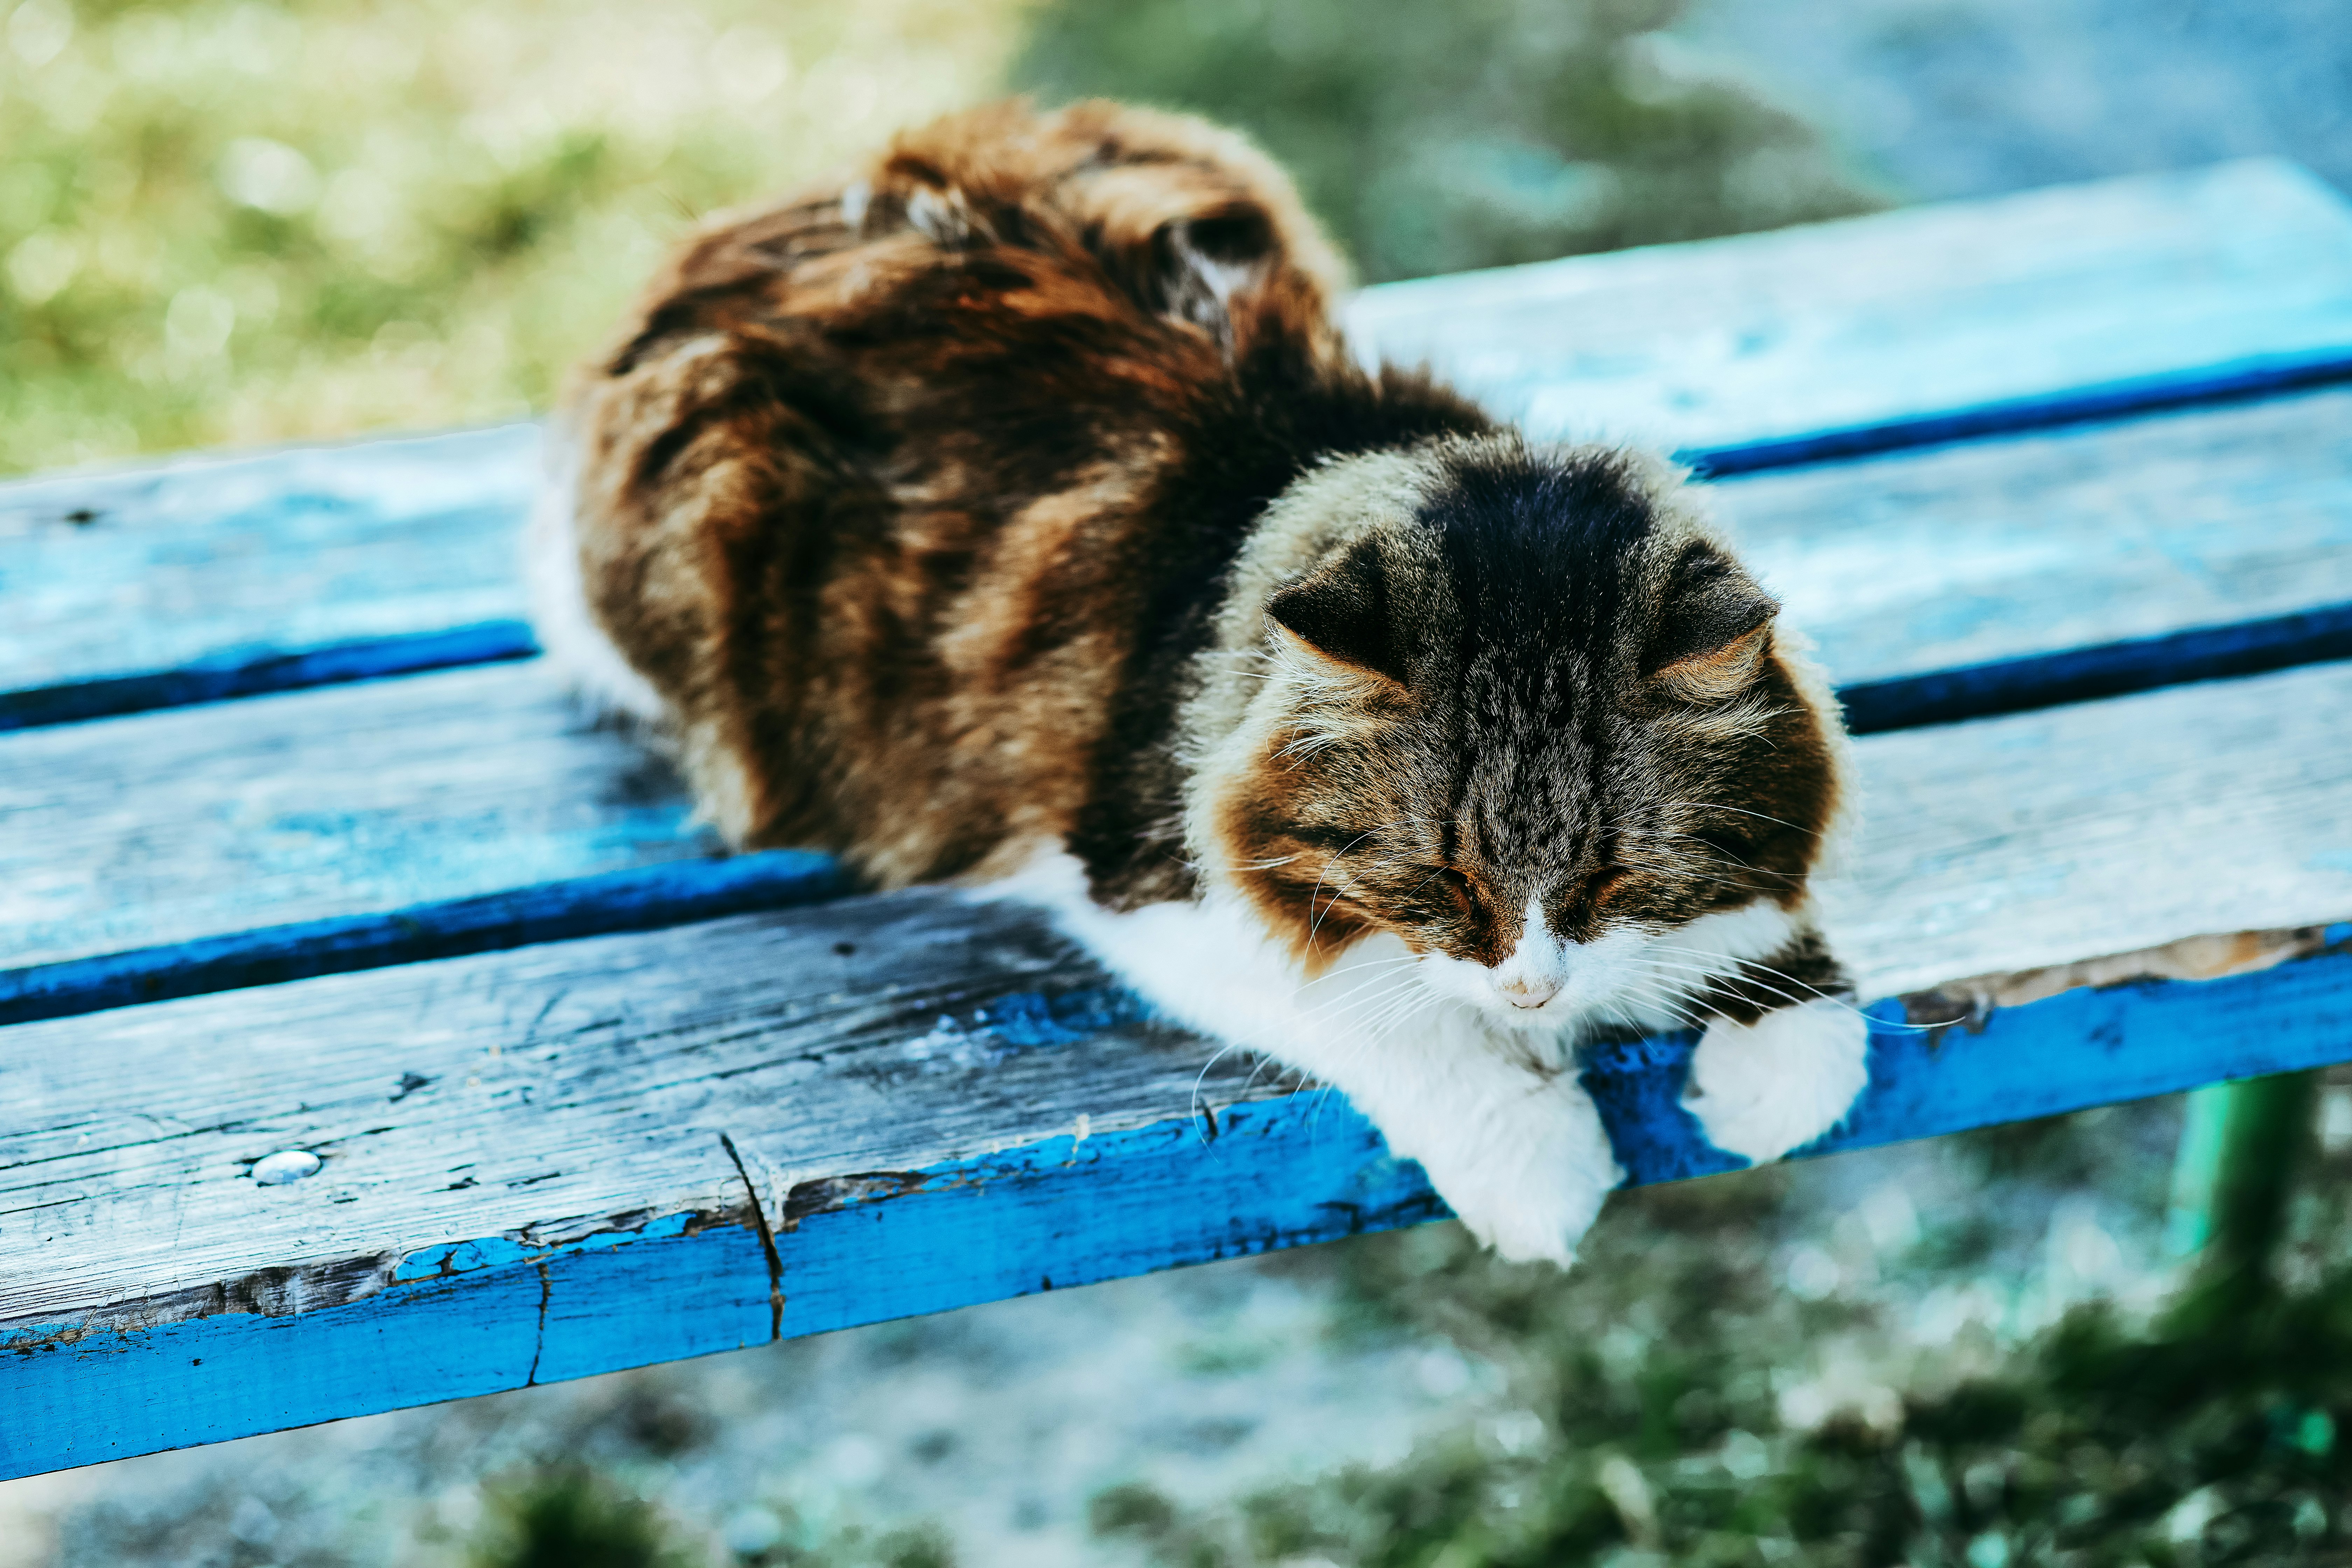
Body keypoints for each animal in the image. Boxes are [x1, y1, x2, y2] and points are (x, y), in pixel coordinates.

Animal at [538, 98, 1872, 1269]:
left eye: (1612, 880)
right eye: (1441, 880)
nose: (1532, 991)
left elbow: (1803, 1008)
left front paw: (1758, 1067)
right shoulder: (1146, 886)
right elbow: (1390, 1014)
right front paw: (1543, 1164)